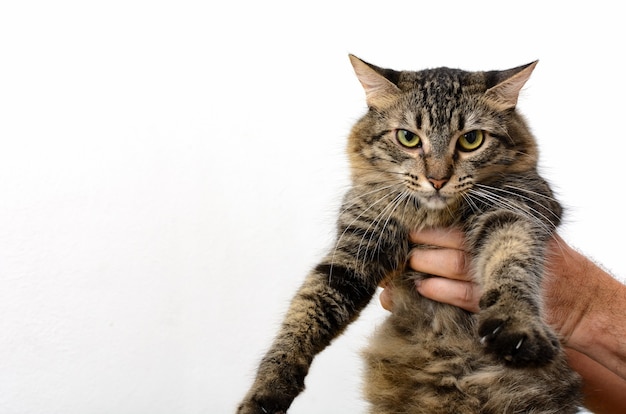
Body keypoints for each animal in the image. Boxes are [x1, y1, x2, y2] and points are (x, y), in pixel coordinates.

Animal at [235, 55, 580, 414]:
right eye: (408, 138)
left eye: (471, 140)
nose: (438, 180)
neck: (431, 216)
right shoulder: (357, 244)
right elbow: (304, 314)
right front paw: (265, 390)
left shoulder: (515, 208)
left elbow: (512, 264)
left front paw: (516, 326)